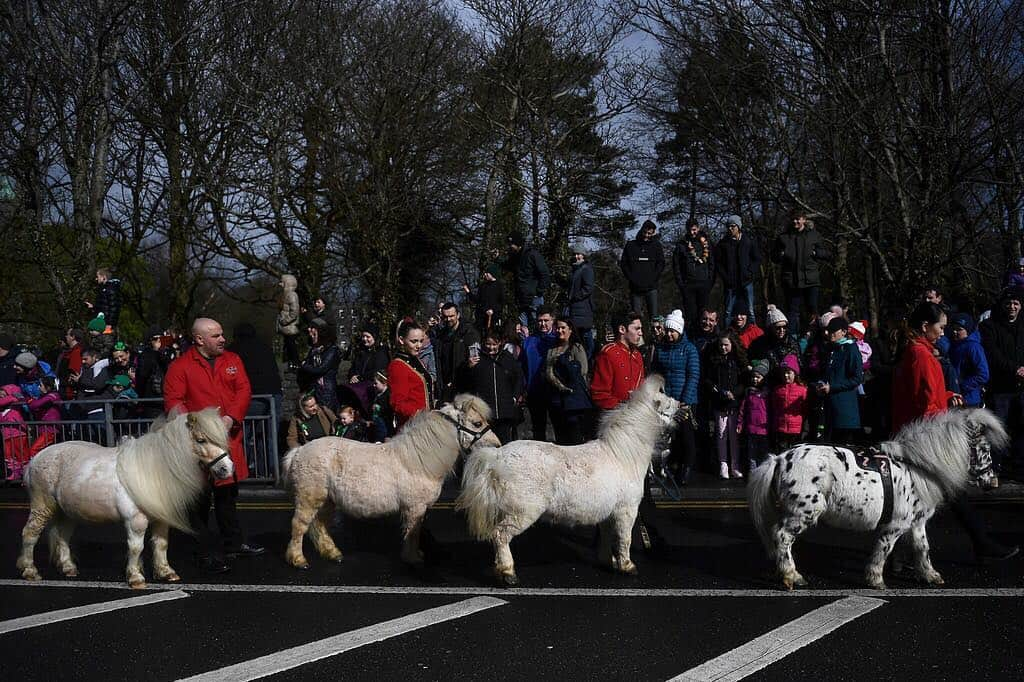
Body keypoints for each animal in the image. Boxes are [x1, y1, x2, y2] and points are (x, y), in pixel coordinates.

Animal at [16, 405, 232, 585]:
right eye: (201, 440)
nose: (227, 469)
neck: (152, 470)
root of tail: (34, 459)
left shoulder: (161, 520)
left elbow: (161, 544)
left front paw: (166, 572)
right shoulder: (135, 521)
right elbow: (136, 547)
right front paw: (136, 577)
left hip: (67, 512)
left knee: (62, 536)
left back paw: (69, 568)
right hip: (42, 507)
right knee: (29, 534)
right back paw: (30, 571)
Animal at [284, 393, 499, 569]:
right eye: (477, 423)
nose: (497, 445)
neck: (418, 460)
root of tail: (299, 451)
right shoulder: (415, 508)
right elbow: (413, 532)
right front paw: (413, 558)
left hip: (327, 500)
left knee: (320, 524)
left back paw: (332, 553)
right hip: (309, 499)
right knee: (298, 526)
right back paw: (298, 560)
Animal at [456, 372, 679, 585]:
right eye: (665, 402)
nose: (681, 405)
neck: (622, 455)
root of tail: (496, 457)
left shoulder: (608, 513)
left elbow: (607, 538)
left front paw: (608, 562)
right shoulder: (627, 510)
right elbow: (624, 539)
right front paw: (627, 566)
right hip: (522, 513)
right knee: (500, 536)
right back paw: (508, 573)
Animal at [749, 405, 1003, 585]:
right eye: (984, 449)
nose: (993, 481)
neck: (918, 468)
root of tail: (779, 459)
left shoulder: (917, 522)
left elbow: (922, 548)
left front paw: (930, 575)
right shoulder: (896, 525)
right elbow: (884, 549)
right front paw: (875, 578)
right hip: (803, 512)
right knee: (782, 537)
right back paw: (792, 576)